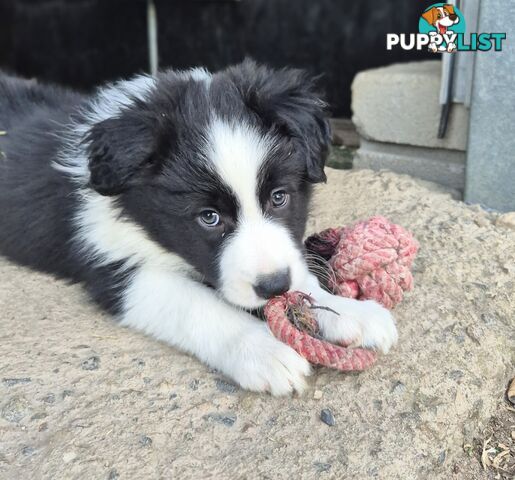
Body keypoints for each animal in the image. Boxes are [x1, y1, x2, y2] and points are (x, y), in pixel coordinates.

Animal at [0, 62, 400, 396]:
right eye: (209, 217)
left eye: (279, 197)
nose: (273, 287)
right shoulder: (114, 266)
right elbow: (198, 306)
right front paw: (263, 351)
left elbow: (300, 275)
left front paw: (349, 312)